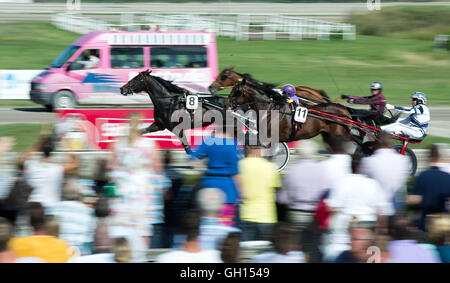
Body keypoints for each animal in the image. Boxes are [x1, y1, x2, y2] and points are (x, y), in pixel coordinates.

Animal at [225, 77, 358, 149]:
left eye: (236, 91)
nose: (226, 104)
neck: (270, 110)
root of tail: (345, 110)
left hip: (341, 135)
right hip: (329, 136)